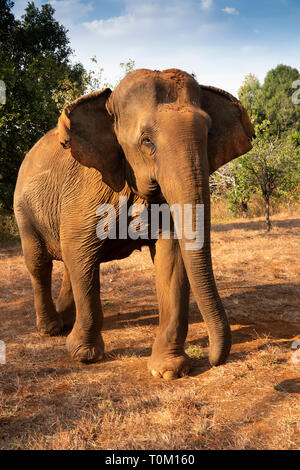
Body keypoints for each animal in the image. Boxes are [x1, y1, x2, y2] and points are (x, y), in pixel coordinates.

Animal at [13, 69, 253, 378]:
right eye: (147, 141)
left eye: (209, 134)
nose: (213, 360)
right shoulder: (87, 190)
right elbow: (81, 255)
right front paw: (84, 356)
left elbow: (171, 258)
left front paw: (169, 371)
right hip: (23, 210)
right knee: (39, 263)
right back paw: (51, 330)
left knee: (65, 263)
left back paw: (65, 323)